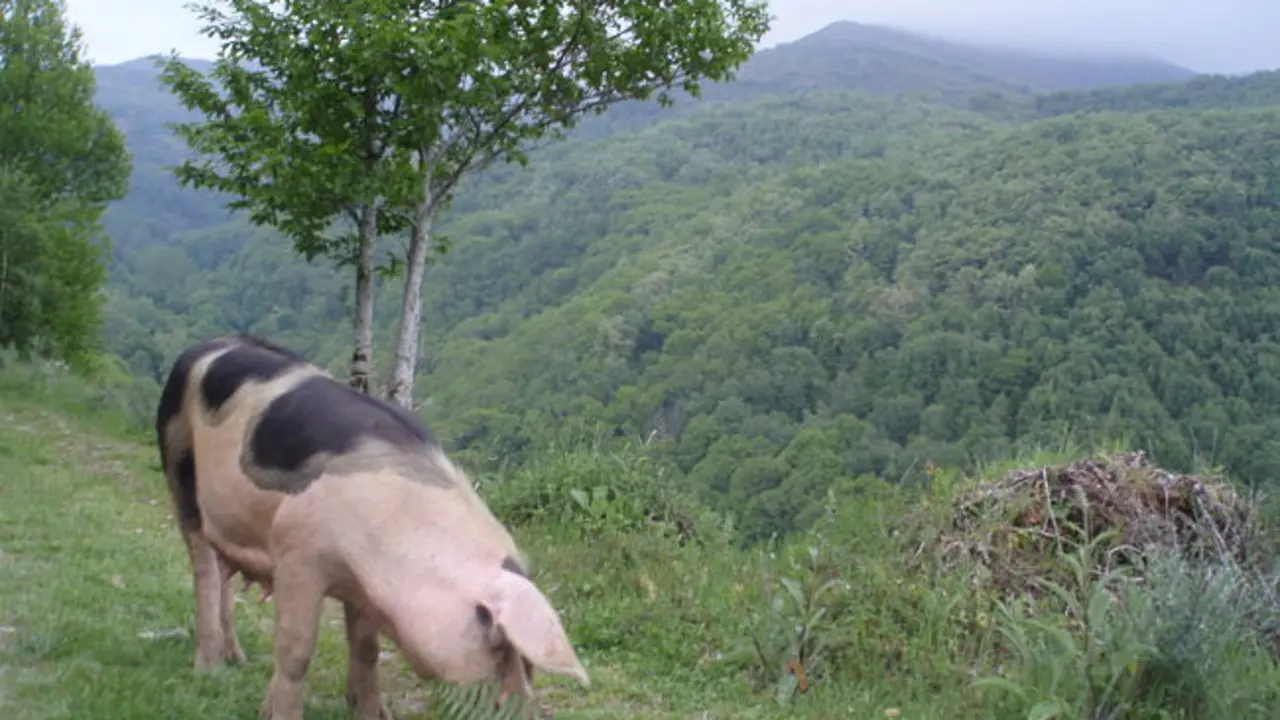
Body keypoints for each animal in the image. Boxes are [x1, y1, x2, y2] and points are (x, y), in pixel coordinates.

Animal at [154, 333, 588, 720]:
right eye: (499, 649)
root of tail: (200, 347)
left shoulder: (363, 589)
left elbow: (367, 651)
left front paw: (373, 713)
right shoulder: (297, 552)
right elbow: (296, 650)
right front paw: (277, 714)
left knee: (223, 574)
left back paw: (237, 659)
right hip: (178, 464)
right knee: (204, 571)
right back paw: (208, 669)